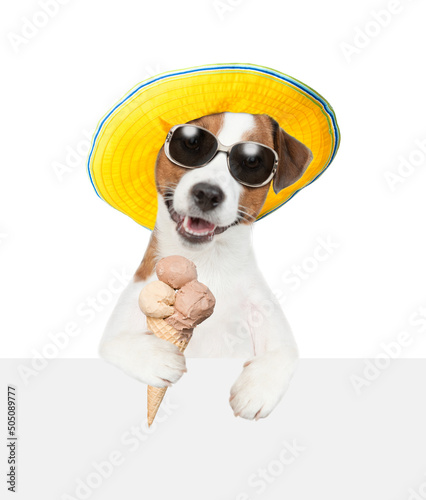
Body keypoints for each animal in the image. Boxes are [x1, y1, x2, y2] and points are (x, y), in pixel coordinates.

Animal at [100, 111, 312, 420]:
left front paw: (256, 389)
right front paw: (159, 358)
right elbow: (114, 344)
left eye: (252, 161)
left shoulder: (265, 309)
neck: (206, 264)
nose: (208, 193)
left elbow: (285, 351)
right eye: (191, 143)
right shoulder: (121, 322)